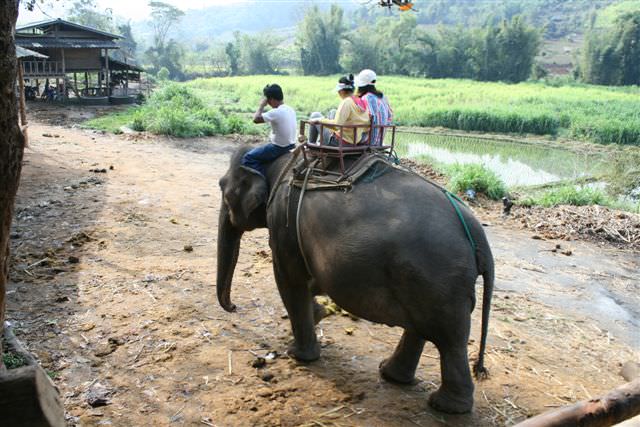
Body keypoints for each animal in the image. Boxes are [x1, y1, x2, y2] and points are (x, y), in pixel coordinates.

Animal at [217, 145, 494, 414]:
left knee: (450, 341)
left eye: (222, 187)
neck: (282, 161)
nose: (233, 306)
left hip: (438, 281)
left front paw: (298, 355)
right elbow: (308, 281)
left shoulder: (283, 223)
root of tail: (478, 234)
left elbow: (290, 280)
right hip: (429, 282)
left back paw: (444, 406)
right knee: (424, 329)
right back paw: (391, 375)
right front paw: (319, 313)